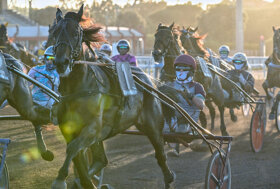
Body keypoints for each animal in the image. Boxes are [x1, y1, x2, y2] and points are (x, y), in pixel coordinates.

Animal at [50, 5, 174, 188]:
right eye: (54, 32)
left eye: (75, 33)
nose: (61, 62)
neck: (78, 87)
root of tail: (147, 80)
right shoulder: (71, 129)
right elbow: (78, 158)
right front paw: (82, 181)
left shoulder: (93, 127)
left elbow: (72, 149)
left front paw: (60, 179)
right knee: (101, 159)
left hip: (153, 126)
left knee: (161, 155)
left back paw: (169, 177)